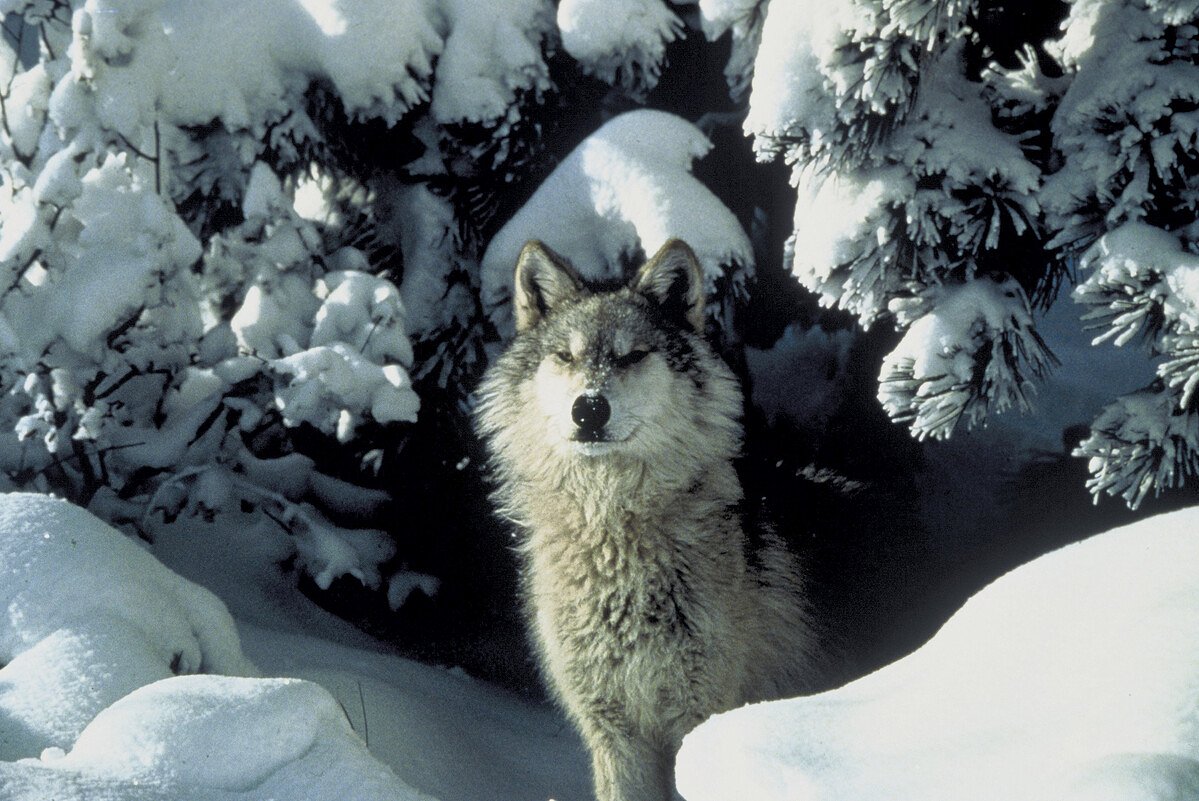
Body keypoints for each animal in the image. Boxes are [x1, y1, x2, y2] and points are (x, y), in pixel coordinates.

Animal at [475, 239, 818, 801]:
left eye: (632, 355)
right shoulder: (614, 733)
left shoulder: (699, 719)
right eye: (566, 356)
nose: (589, 408)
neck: (612, 534)